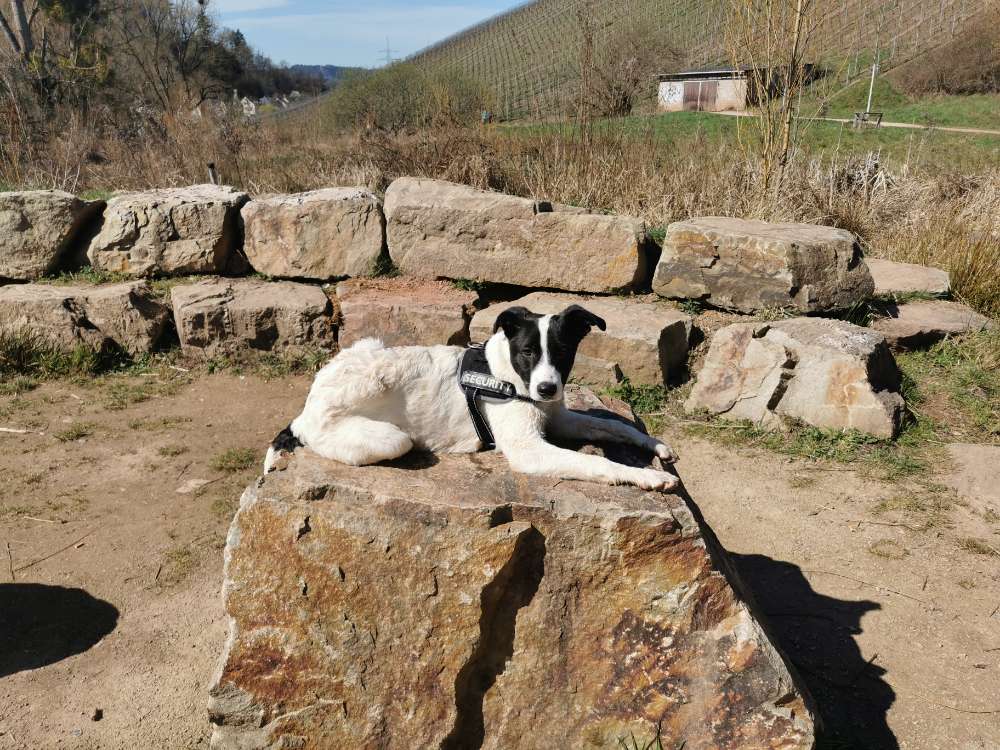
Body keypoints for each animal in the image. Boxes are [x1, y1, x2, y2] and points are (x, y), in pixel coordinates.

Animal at [264, 306, 680, 494]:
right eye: (527, 352)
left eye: (562, 352)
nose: (547, 389)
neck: (508, 377)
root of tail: (304, 411)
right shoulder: (529, 450)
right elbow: (596, 464)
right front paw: (649, 477)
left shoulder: (558, 417)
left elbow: (612, 424)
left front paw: (653, 445)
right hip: (391, 439)